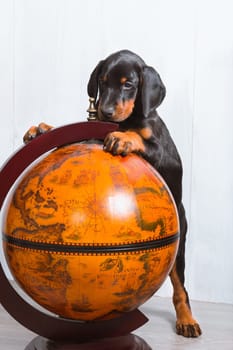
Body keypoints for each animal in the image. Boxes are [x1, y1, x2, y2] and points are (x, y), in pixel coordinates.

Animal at [24, 48, 202, 336]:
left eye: (128, 85)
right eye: (102, 82)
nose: (105, 112)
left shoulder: (163, 154)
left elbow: (141, 138)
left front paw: (124, 137)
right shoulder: (92, 136)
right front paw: (42, 129)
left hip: (180, 242)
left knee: (180, 287)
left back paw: (186, 320)